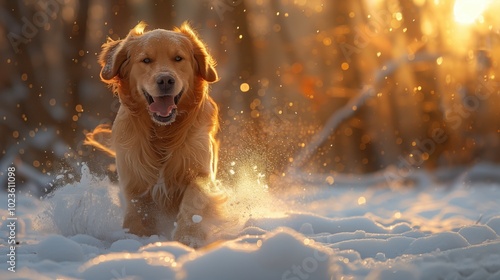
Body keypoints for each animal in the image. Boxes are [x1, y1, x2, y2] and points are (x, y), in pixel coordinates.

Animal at [86, 21, 225, 247]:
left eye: (178, 58)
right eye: (146, 60)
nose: (165, 80)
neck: (163, 134)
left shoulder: (201, 171)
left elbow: (195, 199)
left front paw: (189, 237)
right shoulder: (134, 183)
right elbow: (137, 214)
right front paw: (136, 240)